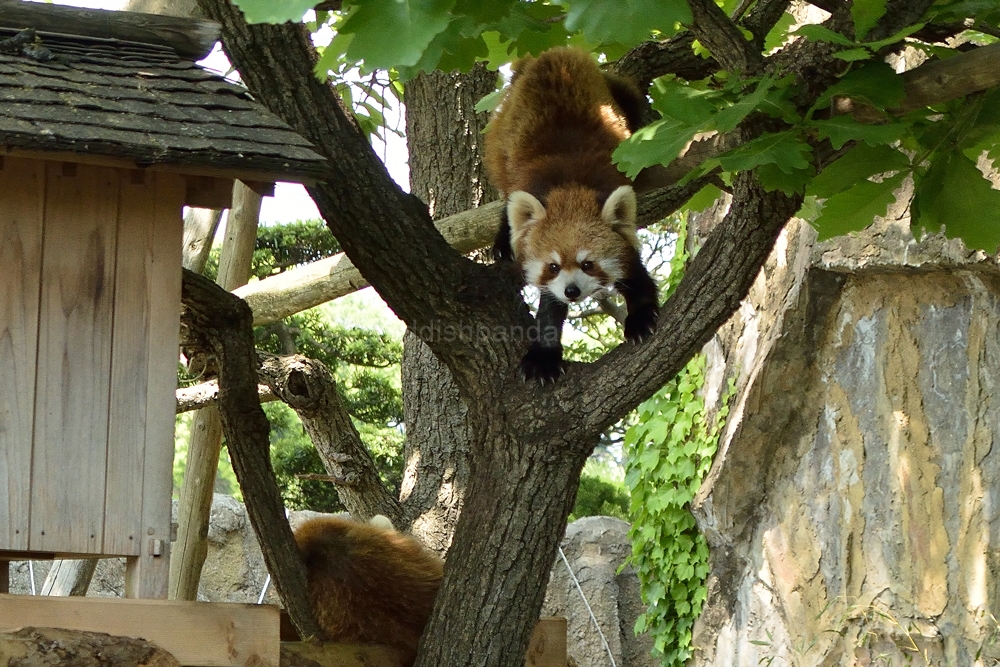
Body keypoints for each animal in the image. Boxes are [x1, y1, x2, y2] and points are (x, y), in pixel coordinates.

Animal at [482, 47, 656, 384]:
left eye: (588, 264)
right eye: (553, 266)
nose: (572, 291)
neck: (570, 188)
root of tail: (552, 52)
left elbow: (632, 270)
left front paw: (641, 315)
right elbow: (550, 304)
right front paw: (544, 355)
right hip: (500, 139)